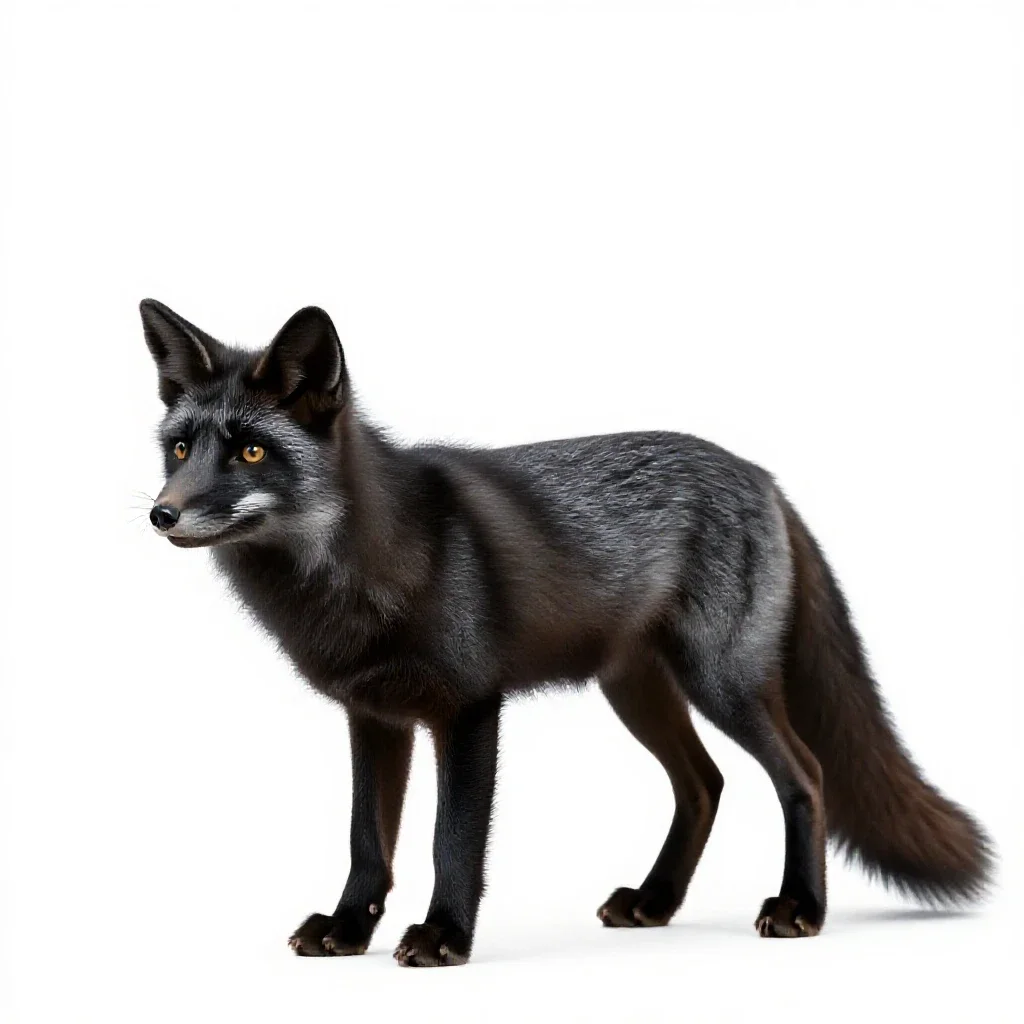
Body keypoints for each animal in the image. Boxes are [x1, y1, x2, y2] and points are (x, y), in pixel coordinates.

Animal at [141, 298, 992, 966]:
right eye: (180, 448)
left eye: (252, 451)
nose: (162, 513)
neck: (354, 576)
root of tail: (761, 476)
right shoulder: (374, 717)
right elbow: (366, 842)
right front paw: (349, 931)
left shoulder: (468, 710)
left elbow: (452, 841)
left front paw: (444, 937)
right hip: (637, 691)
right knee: (705, 783)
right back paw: (654, 901)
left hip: (724, 683)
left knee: (806, 776)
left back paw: (800, 910)